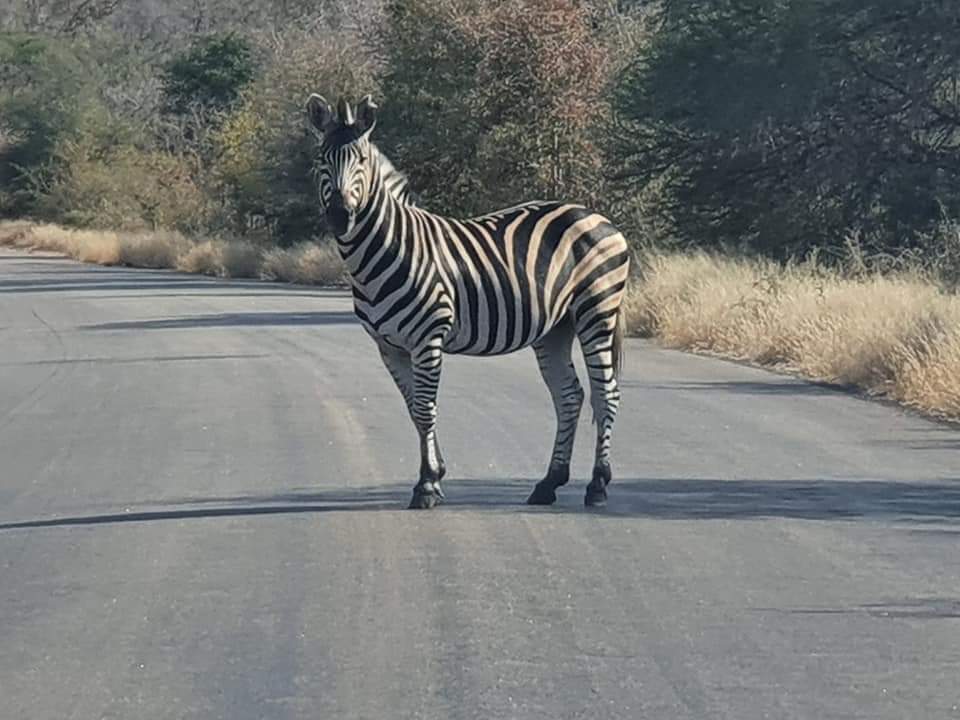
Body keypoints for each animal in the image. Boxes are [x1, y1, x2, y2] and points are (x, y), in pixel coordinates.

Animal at [308, 95, 632, 510]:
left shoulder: (428, 337)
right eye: (322, 159)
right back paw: (548, 483)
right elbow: (414, 410)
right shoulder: (388, 346)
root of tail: (598, 217)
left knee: (605, 393)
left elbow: (425, 409)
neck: (388, 248)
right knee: (569, 396)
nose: (339, 216)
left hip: (596, 311)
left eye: (361, 160)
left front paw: (426, 485)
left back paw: (597, 485)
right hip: (555, 328)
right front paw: (436, 474)